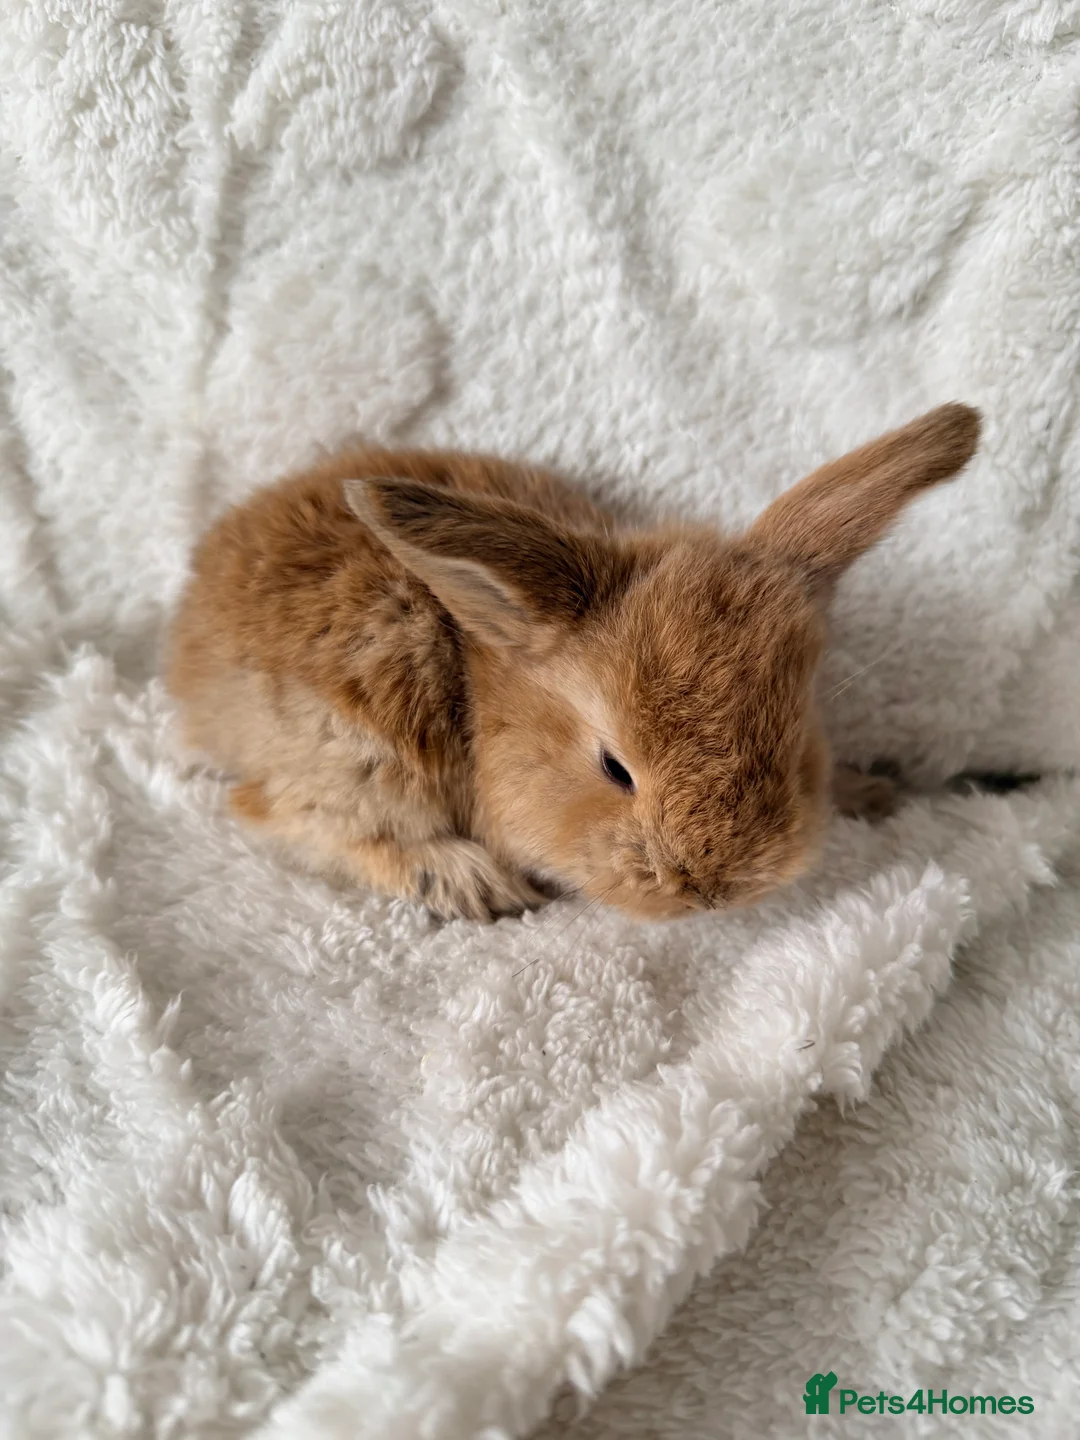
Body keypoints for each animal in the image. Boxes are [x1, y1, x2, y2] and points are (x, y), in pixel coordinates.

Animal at [165, 403, 980, 922]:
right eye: (615, 768)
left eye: (797, 746)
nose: (712, 889)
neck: (486, 686)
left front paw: (873, 792)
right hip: (360, 743)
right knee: (269, 812)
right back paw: (469, 883)